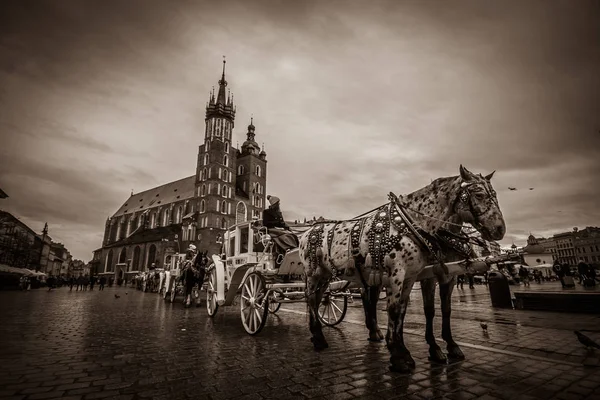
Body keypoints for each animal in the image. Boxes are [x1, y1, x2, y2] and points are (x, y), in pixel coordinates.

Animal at [298, 165, 504, 372]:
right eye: (479, 194)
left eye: (495, 194)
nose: (500, 230)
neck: (413, 223)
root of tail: (307, 232)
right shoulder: (399, 274)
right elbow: (397, 309)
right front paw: (400, 355)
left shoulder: (416, 276)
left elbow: (412, 311)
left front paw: (408, 350)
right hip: (313, 274)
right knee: (311, 299)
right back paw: (319, 338)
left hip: (326, 276)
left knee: (322, 299)